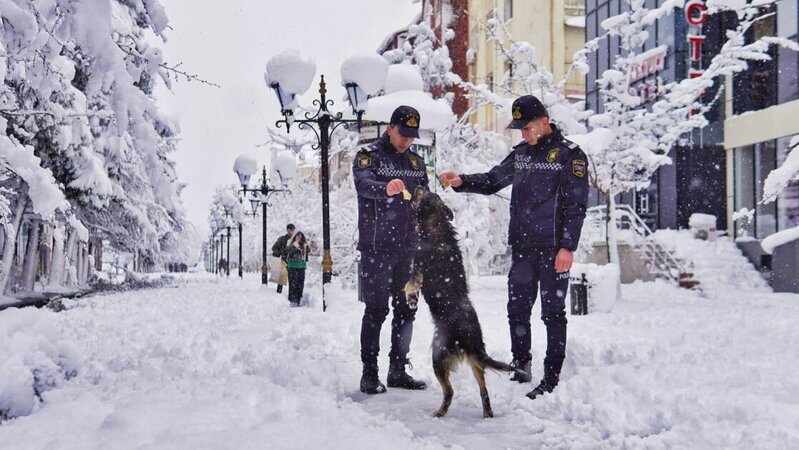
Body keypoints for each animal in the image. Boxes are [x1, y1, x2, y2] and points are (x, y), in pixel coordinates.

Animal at [406, 186, 520, 418]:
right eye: (433, 194)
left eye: (424, 194)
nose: (420, 186)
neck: (437, 224)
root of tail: (471, 339)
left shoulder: (417, 270)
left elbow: (407, 286)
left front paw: (410, 299)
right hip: (476, 363)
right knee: (484, 391)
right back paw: (487, 414)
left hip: (439, 356)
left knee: (449, 391)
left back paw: (438, 413)